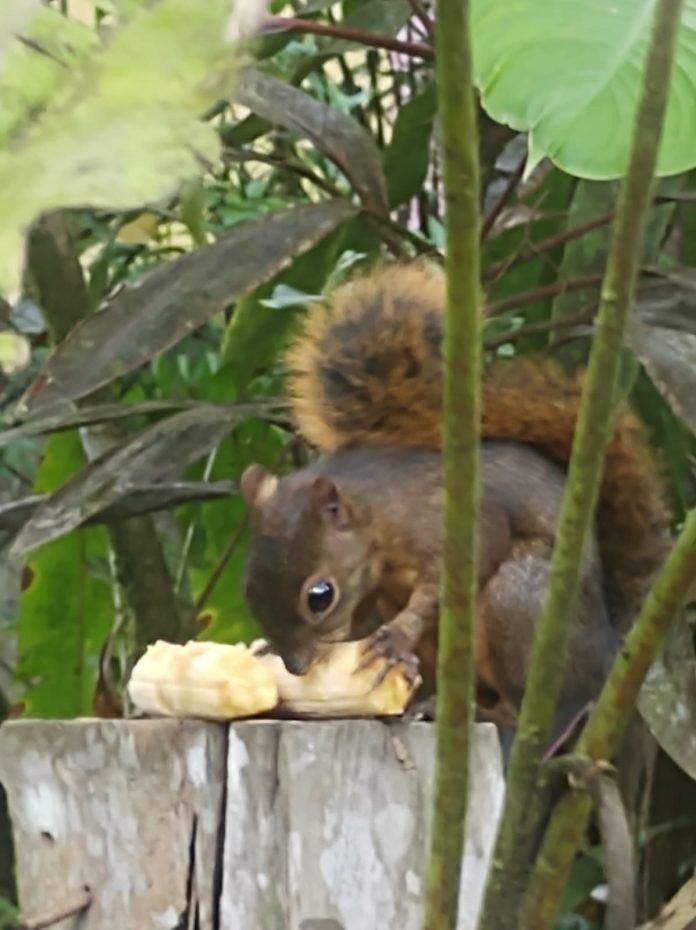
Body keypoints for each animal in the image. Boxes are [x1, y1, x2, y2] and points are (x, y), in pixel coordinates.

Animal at [238, 260, 668, 740]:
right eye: (247, 587)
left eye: (320, 596)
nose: (296, 667)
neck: (373, 510)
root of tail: (609, 649)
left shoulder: (449, 519)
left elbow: (455, 573)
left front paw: (395, 638)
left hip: (519, 606)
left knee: (542, 708)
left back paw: (490, 713)